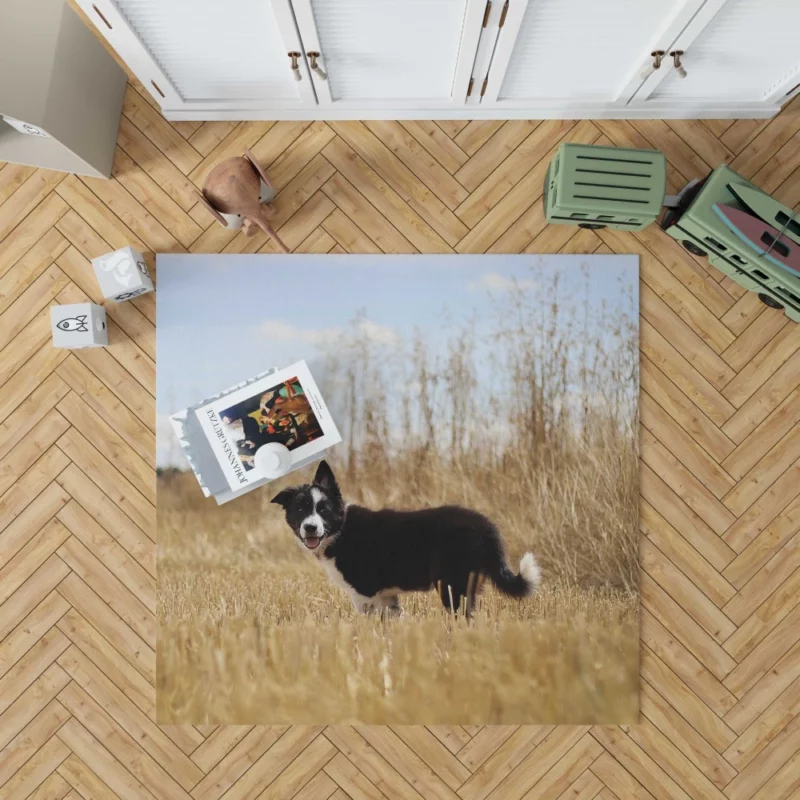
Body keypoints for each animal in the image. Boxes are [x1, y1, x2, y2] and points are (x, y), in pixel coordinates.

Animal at [272, 460, 540, 616]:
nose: (310, 528)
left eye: (324, 510)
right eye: (300, 509)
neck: (341, 529)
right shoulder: (386, 596)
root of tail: (487, 528)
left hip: (452, 583)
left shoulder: (365, 592)